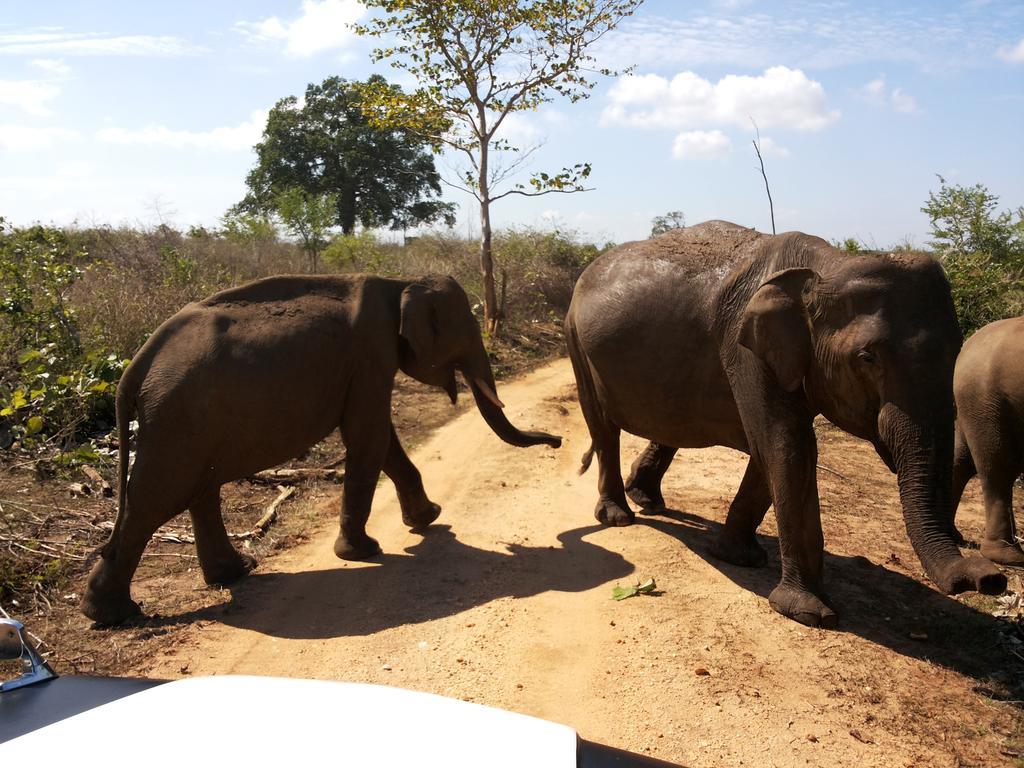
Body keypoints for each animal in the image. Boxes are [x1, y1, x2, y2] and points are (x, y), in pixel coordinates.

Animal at [81, 274, 561, 626]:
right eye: (463, 337)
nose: (558, 442)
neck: (400, 283)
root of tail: (134, 366)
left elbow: (382, 438)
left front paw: (428, 519)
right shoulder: (370, 355)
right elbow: (368, 437)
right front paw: (364, 552)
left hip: (184, 421)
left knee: (200, 490)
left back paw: (235, 572)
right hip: (178, 420)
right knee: (155, 500)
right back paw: (112, 615)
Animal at [569, 219, 1007, 626]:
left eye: (957, 351)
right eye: (867, 358)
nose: (990, 579)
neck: (828, 265)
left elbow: (769, 448)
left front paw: (740, 558)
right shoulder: (745, 348)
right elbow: (787, 444)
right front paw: (808, 613)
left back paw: (647, 500)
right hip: (576, 341)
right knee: (602, 427)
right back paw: (618, 516)